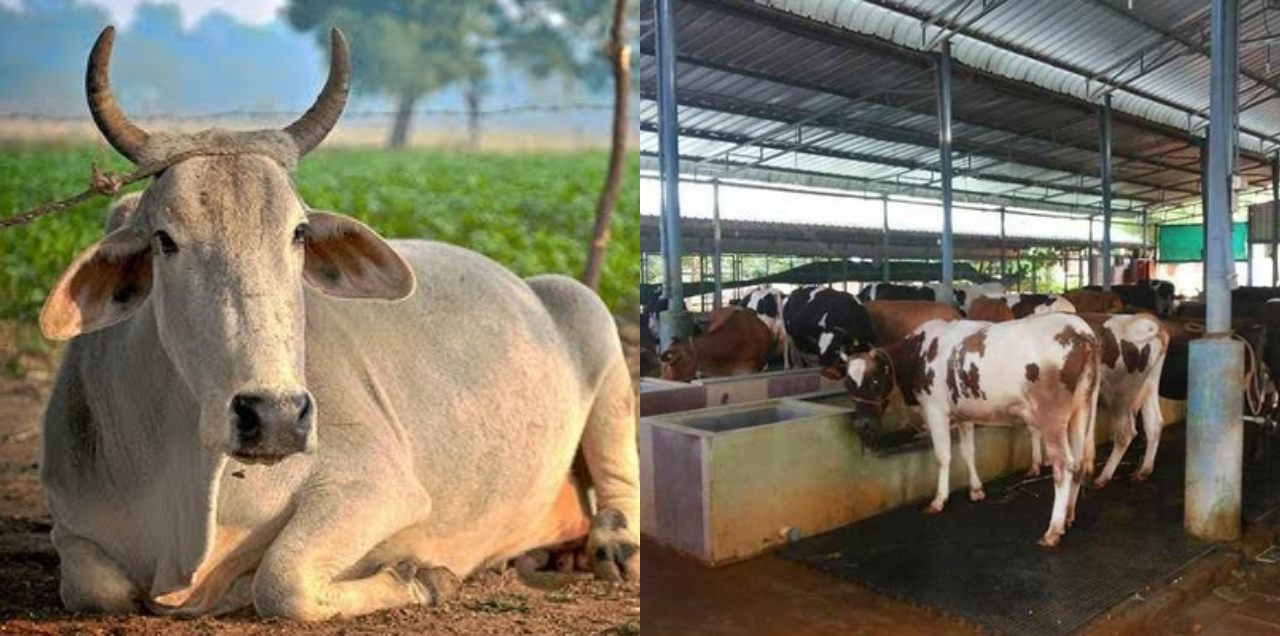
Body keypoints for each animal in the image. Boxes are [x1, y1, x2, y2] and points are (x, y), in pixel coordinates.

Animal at [37, 28, 639, 620]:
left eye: (299, 233)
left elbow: (283, 583)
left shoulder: (377, 486)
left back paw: (615, 545)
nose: (274, 416)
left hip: (591, 316)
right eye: (164, 240)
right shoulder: (74, 525)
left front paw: (424, 578)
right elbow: (97, 589)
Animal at [842, 314, 1100, 547]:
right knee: (1077, 463)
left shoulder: (935, 410)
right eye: (847, 384)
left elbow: (943, 456)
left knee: (1063, 466)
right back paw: (1068, 517)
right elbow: (968, 452)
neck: (918, 353)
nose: (861, 425)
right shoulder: (963, 413)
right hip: (1081, 410)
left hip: (1052, 419)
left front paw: (939, 500)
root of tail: (1080, 331)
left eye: (874, 382)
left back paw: (1053, 530)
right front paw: (976, 490)